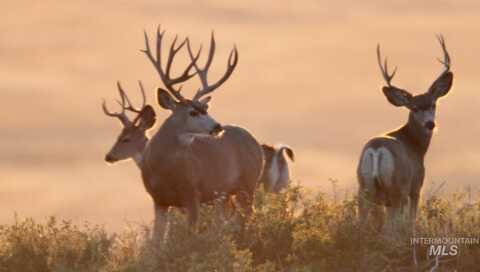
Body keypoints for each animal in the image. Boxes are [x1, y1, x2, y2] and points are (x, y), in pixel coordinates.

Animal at [101, 28, 264, 240]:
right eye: (193, 112)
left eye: (205, 108)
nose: (218, 127)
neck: (162, 170)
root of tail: (254, 141)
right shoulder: (159, 201)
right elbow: (156, 241)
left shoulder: (192, 196)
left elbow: (189, 236)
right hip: (224, 196)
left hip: (248, 185)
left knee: (249, 218)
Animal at [356, 35, 454, 232]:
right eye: (414, 108)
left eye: (433, 104)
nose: (430, 124)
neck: (416, 146)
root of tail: (376, 150)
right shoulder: (416, 186)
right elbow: (412, 219)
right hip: (398, 188)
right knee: (392, 227)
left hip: (364, 187)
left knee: (362, 221)